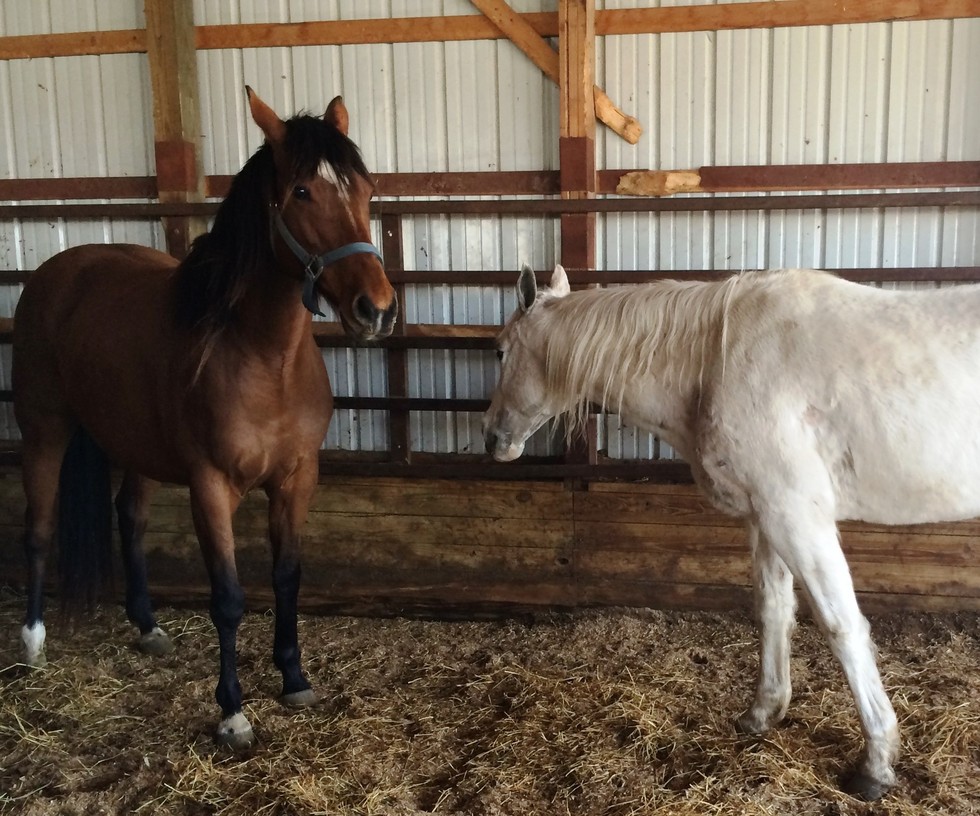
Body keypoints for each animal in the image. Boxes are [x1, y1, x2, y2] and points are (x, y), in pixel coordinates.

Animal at [13, 87, 397, 749]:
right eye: (302, 191)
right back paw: (34, 641)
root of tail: (56, 274)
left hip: (132, 445)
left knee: (130, 518)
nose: (376, 309)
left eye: (365, 189)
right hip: (43, 431)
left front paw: (294, 678)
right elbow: (229, 597)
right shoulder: (211, 487)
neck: (262, 356)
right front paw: (233, 711)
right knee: (38, 531)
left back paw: (146, 626)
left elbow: (287, 576)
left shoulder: (296, 479)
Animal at [483, 263, 980, 800]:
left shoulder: (794, 515)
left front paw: (877, 763)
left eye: (500, 350)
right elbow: (774, 610)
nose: (492, 438)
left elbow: (842, 627)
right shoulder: (765, 517)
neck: (716, 358)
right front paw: (763, 713)